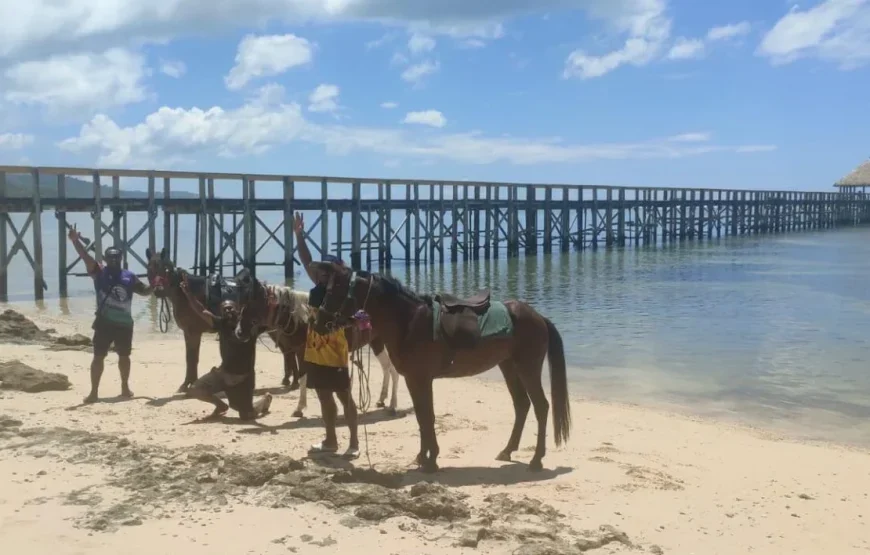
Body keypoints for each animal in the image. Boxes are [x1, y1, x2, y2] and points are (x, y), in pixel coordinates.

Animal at [232, 271, 401, 416]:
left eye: (252, 306)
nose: (239, 332)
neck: (301, 320)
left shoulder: (302, 352)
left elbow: (304, 378)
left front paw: (300, 408)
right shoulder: (298, 351)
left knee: (393, 370)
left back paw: (393, 405)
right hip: (376, 342)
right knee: (387, 367)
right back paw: (382, 399)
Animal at [306, 262, 571, 474]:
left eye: (334, 291)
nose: (317, 322)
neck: (409, 322)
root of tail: (538, 317)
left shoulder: (421, 379)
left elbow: (427, 416)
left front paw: (430, 460)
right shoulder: (413, 379)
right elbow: (422, 417)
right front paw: (423, 457)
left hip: (528, 368)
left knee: (541, 407)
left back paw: (536, 460)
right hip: (509, 367)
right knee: (522, 405)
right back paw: (507, 451)